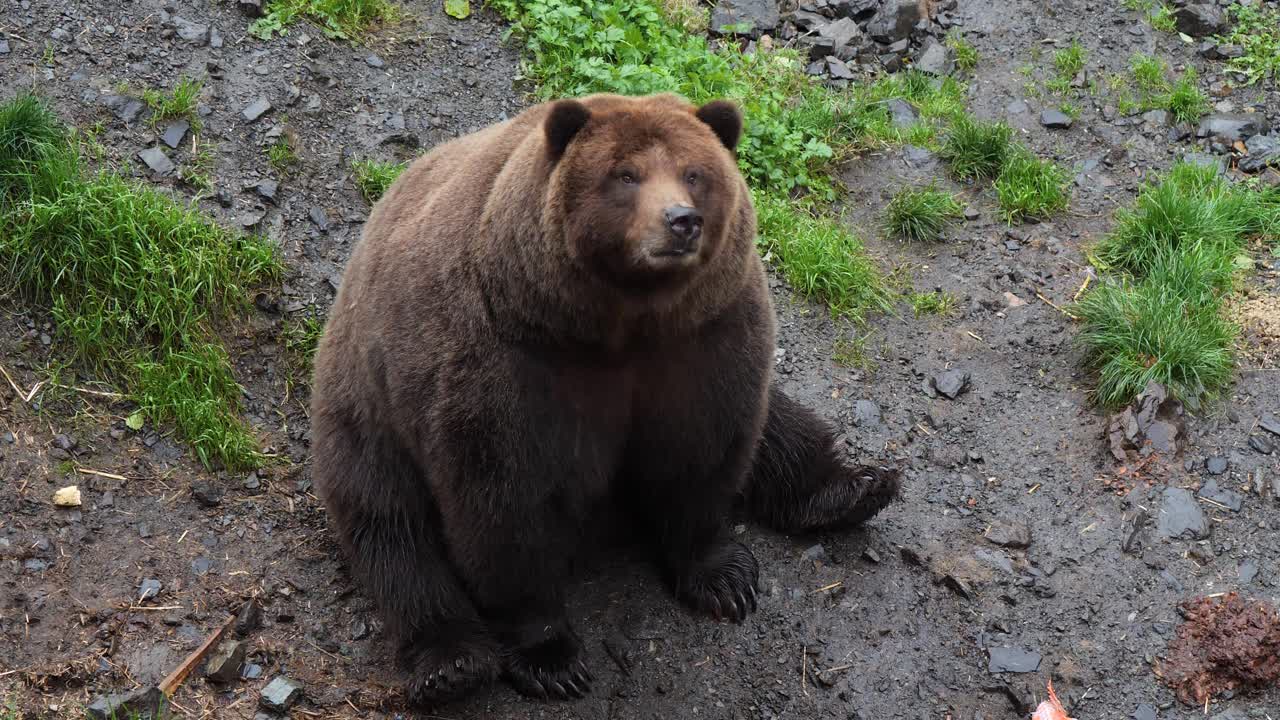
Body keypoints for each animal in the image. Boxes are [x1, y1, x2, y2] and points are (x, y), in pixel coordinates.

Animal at [309, 92, 900, 707]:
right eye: (626, 174)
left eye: (694, 173)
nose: (681, 221)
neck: (618, 324)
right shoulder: (506, 366)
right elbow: (502, 511)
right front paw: (551, 656)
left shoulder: (704, 341)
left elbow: (706, 455)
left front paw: (723, 579)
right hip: (367, 411)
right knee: (393, 531)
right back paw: (451, 664)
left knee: (780, 427)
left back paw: (856, 488)